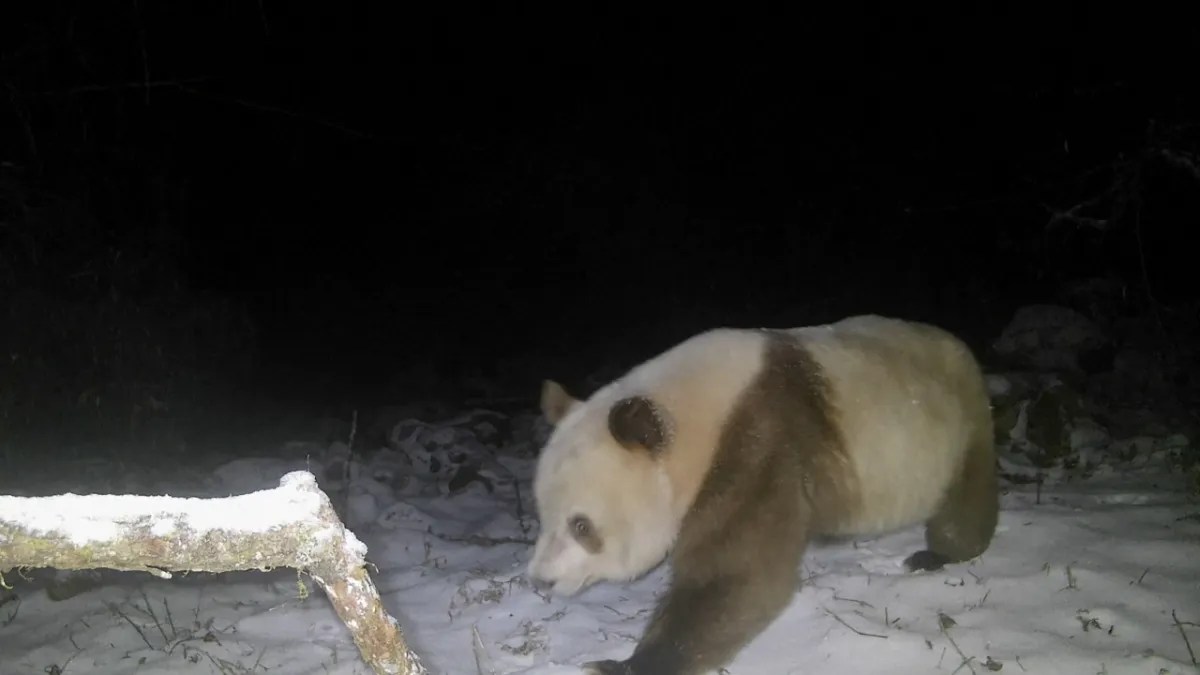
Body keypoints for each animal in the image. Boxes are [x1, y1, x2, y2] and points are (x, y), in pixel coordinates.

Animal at [530, 314, 998, 672]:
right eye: (542, 515)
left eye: (581, 525)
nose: (540, 581)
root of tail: (957, 343)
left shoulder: (759, 441)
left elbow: (739, 574)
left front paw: (620, 665)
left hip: (962, 421)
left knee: (965, 495)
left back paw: (937, 554)